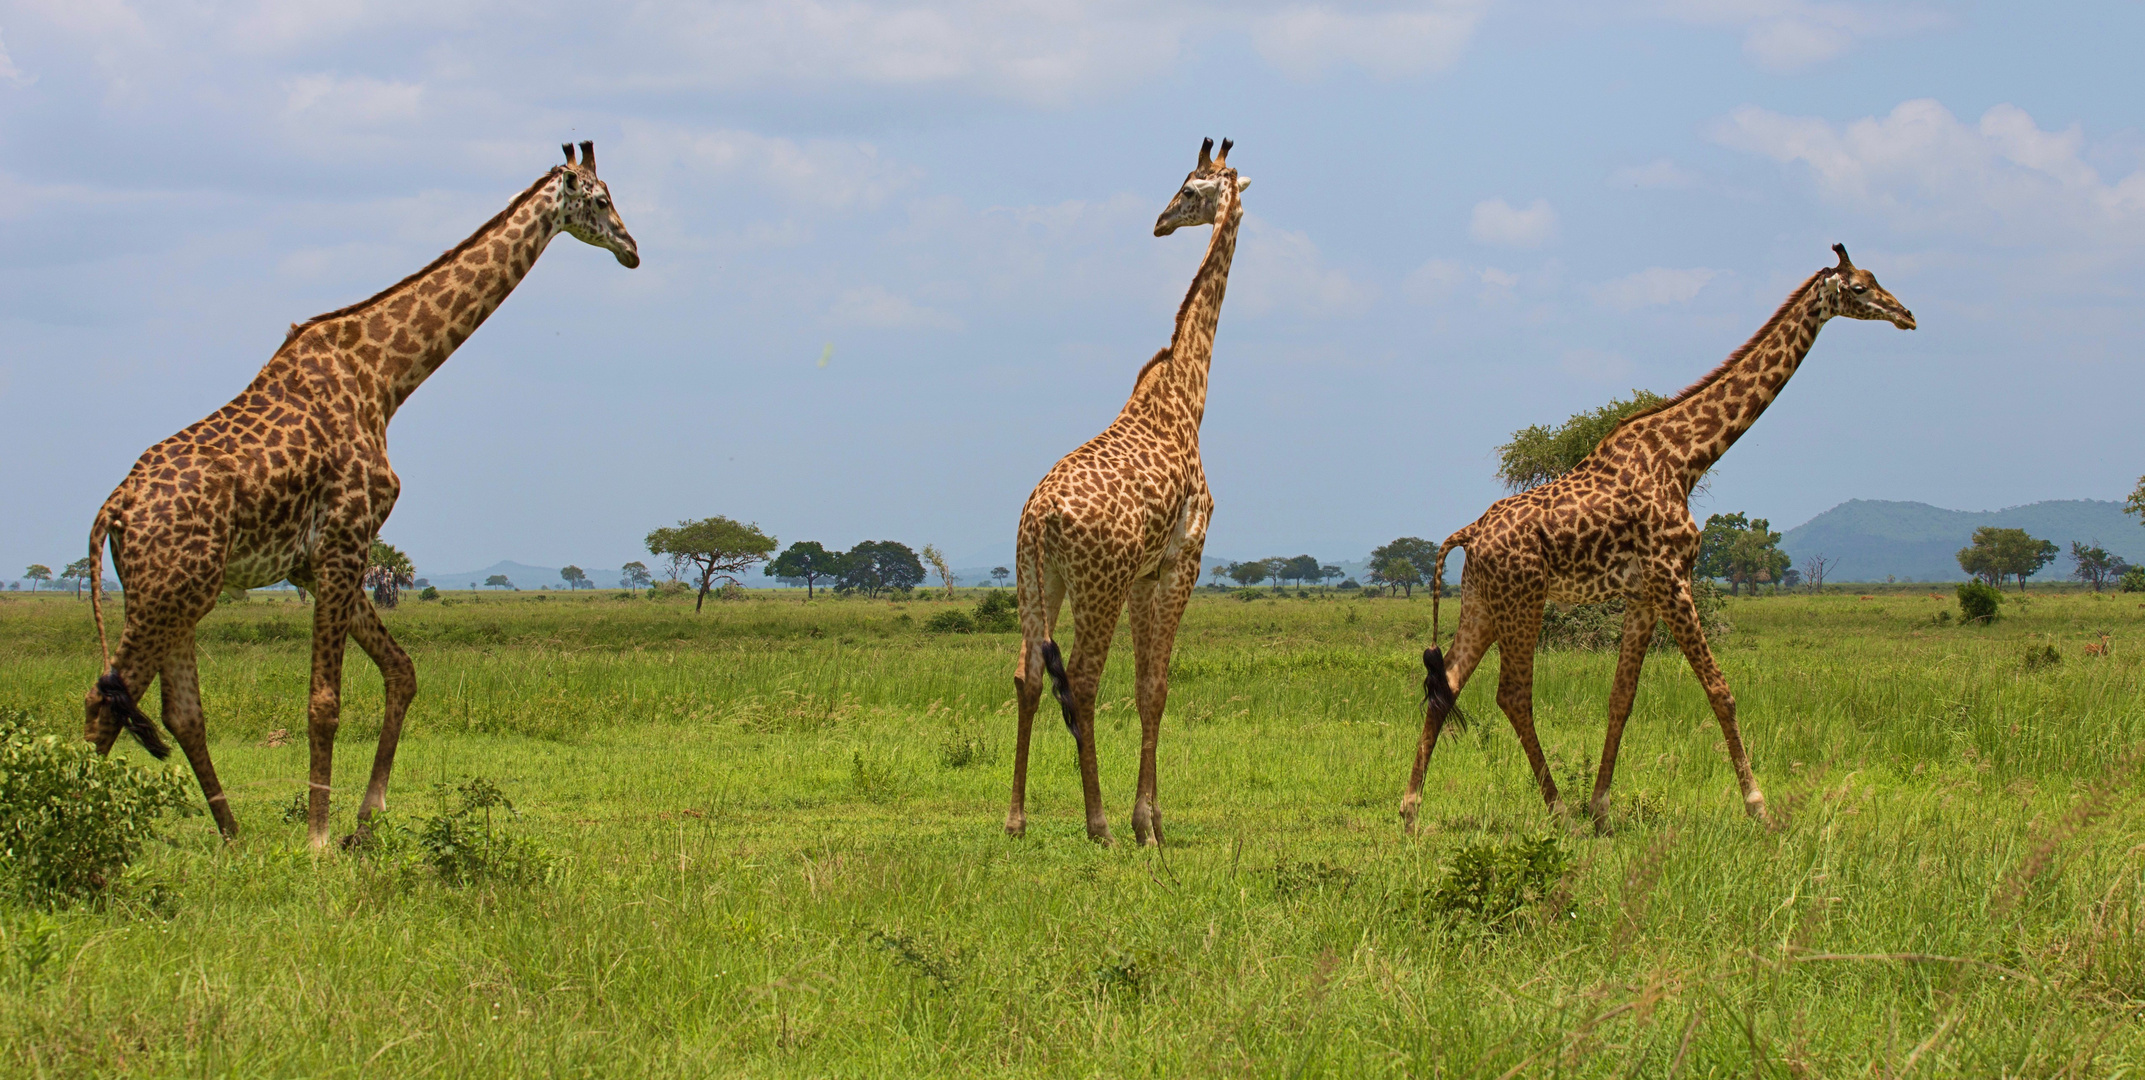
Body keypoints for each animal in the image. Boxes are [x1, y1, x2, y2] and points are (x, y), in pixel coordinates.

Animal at [85, 143, 634, 850]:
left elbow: (402, 671)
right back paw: (86, 837)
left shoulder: (315, 562)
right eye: (600, 199)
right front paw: (319, 839)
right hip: (164, 591)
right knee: (106, 701)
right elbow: (325, 701)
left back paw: (232, 836)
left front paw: (364, 822)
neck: (385, 378)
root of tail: (113, 511)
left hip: (179, 593)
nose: (632, 248)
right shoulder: (345, 541)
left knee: (178, 711)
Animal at [1008, 135, 1252, 850]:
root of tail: (1037, 518)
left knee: (1028, 675)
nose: (1161, 222)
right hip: (1099, 582)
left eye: (1192, 188)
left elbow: (1147, 686)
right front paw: (1147, 825)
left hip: (1039, 579)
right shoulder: (1180, 560)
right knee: (1083, 682)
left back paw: (1016, 820)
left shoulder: (1147, 574)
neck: (1186, 399)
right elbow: (1156, 687)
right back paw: (1099, 826)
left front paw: (1155, 819)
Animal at [1398, 246, 1921, 837]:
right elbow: (1720, 691)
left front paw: (1602, 808)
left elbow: (1621, 698)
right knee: (1512, 694)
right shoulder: (1673, 576)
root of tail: (1469, 533)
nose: (1906, 315)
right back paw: (1557, 810)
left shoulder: (1643, 592)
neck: (1688, 457)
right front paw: (1759, 808)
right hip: (1523, 601)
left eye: (1874, 279)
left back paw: (1413, 811)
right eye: (1858, 288)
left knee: (1447, 686)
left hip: (1483, 602)